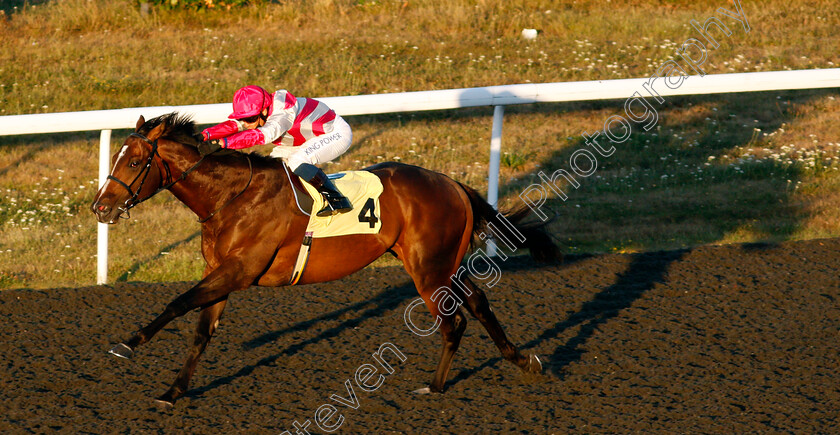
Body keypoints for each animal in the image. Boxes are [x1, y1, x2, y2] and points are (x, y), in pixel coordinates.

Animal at [90, 112, 556, 408]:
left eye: (135, 161)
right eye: (115, 157)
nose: (100, 207)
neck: (232, 196)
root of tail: (454, 184)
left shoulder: (238, 271)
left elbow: (177, 303)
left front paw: (127, 344)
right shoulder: (218, 272)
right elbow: (202, 332)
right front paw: (173, 392)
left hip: (428, 268)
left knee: (454, 320)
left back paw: (435, 387)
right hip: (443, 264)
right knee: (477, 304)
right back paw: (523, 361)